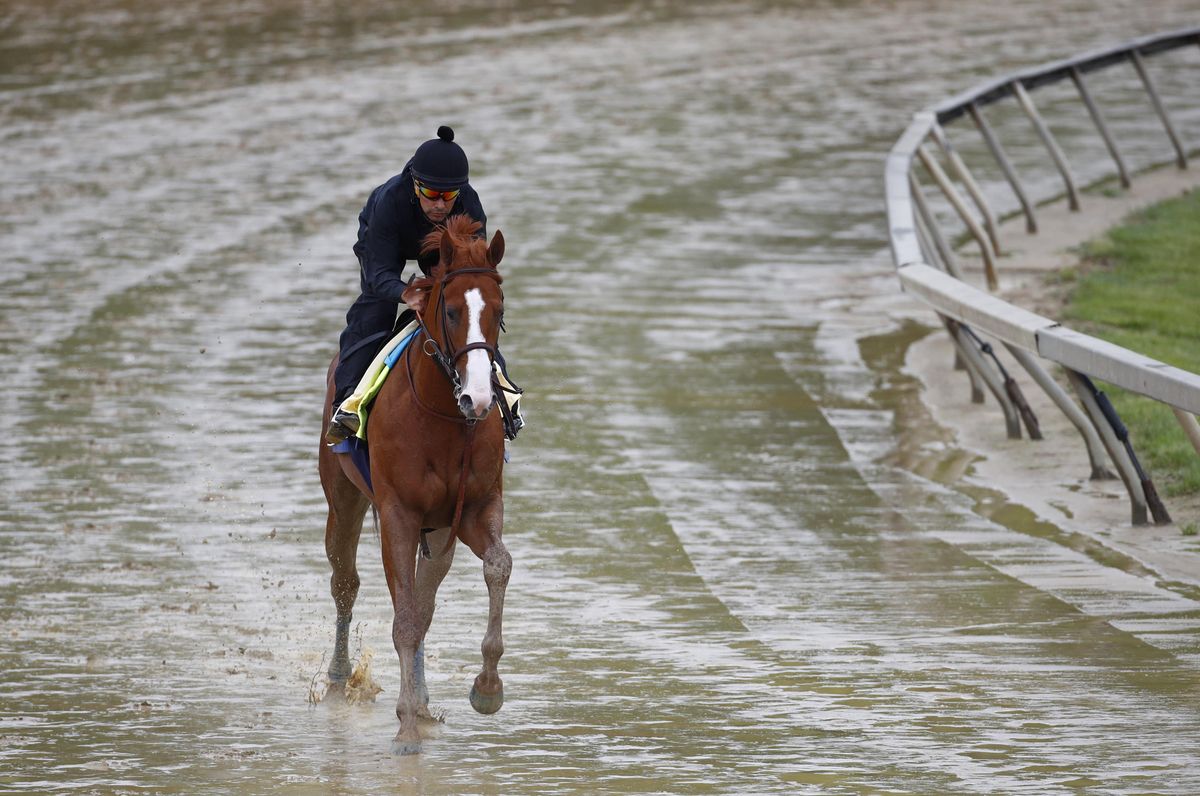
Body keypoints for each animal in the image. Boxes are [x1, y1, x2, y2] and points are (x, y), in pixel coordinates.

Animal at [316, 214, 508, 758]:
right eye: (450, 310)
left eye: (499, 311)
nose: (479, 398)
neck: (446, 417)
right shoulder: (398, 514)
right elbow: (401, 618)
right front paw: (404, 731)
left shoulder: (474, 507)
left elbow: (497, 566)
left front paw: (486, 689)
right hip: (343, 498)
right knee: (345, 583)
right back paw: (339, 679)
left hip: (439, 533)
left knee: (425, 603)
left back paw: (422, 703)